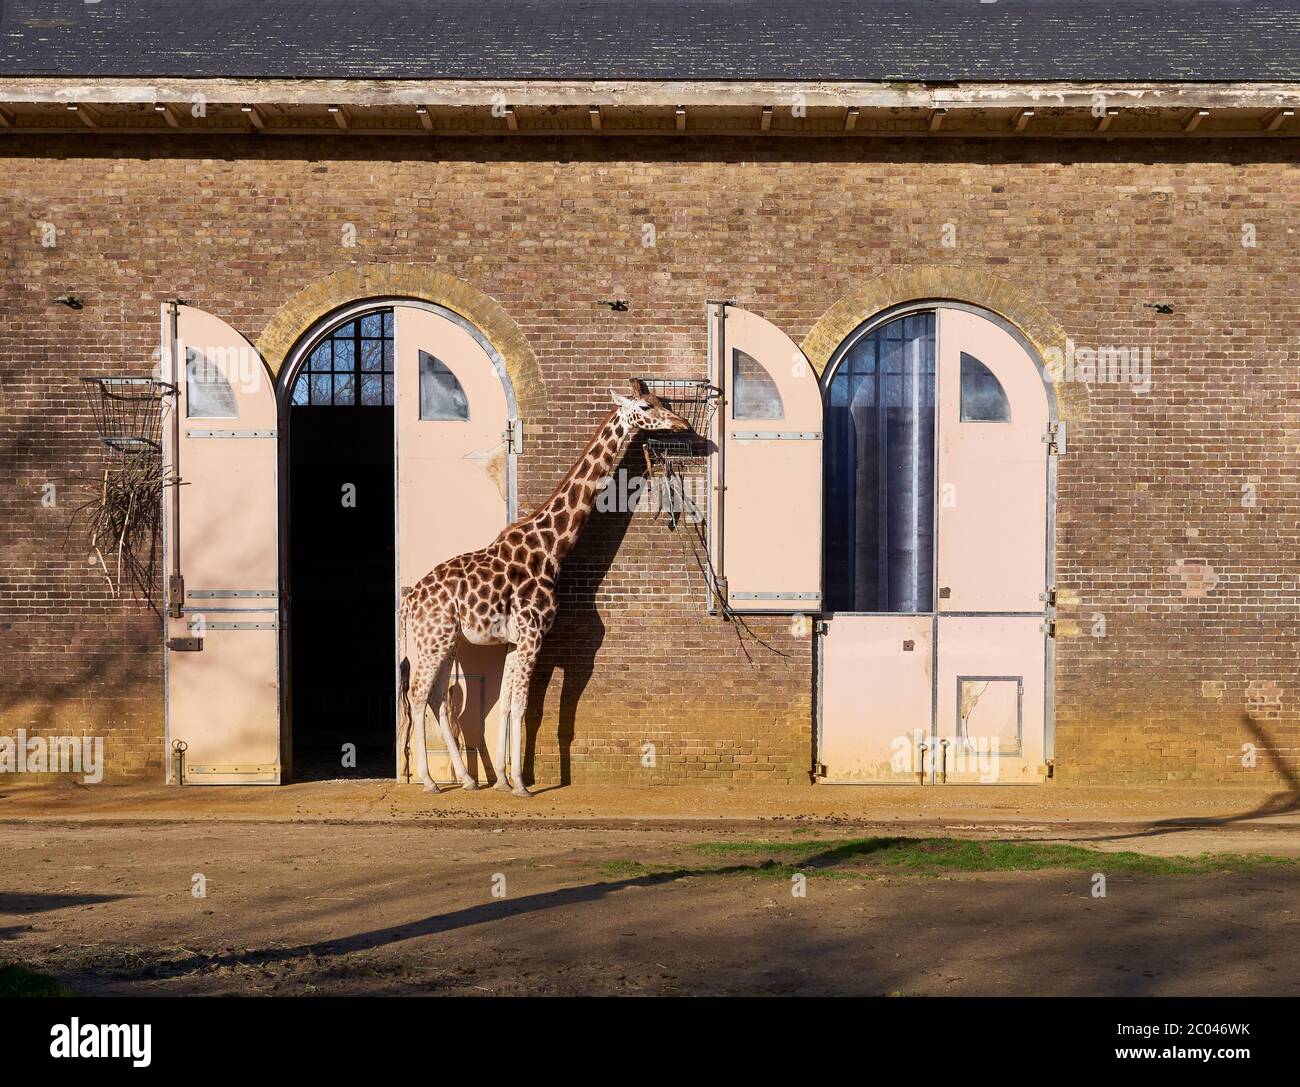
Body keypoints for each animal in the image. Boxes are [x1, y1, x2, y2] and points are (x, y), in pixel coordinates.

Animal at [399, 378, 691, 796]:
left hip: (448, 640)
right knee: (419, 694)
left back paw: (468, 780)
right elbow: (527, 709)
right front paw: (521, 783)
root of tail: (410, 599)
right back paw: (429, 781)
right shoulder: (535, 635)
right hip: (433, 637)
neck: (551, 547)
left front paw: (503, 779)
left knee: (439, 697)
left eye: (660, 401)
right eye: (646, 407)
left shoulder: (515, 640)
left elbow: (507, 704)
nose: (683, 424)